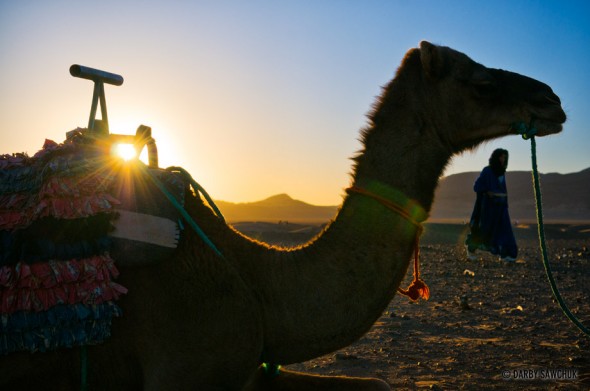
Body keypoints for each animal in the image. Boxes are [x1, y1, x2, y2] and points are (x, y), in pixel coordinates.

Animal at [1, 41, 568, 390]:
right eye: (481, 82)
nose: (552, 100)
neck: (258, 282)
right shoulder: (182, 366)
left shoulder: (252, 372)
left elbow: (380, 381)